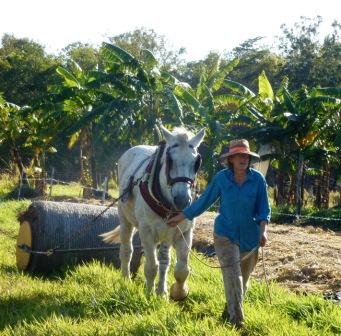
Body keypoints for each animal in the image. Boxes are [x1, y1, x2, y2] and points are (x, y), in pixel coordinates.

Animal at [101, 126, 205, 300]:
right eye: (170, 160)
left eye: (196, 162)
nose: (182, 200)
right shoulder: (146, 231)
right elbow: (151, 266)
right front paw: (149, 295)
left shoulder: (184, 232)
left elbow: (181, 269)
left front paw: (176, 292)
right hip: (125, 219)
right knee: (127, 250)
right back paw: (126, 280)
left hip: (166, 233)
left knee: (164, 260)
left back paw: (161, 291)